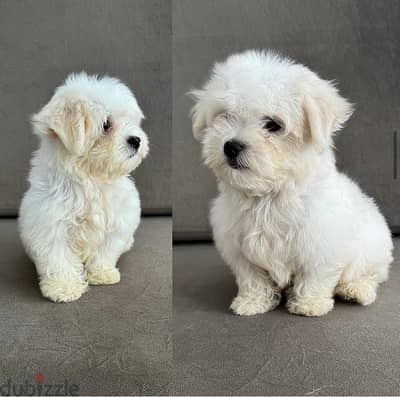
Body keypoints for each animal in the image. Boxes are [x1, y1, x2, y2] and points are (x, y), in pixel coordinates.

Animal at [18, 72, 148, 302]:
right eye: (106, 125)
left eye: (131, 122)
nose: (136, 140)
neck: (92, 178)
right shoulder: (51, 224)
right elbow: (58, 258)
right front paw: (64, 287)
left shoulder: (119, 221)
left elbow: (106, 250)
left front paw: (102, 273)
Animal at [191, 50, 394, 316]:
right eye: (225, 115)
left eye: (272, 125)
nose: (231, 146)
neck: (268, 196)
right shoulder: (238, 246)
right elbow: (252, 277)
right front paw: (253, 301)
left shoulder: (322, 240)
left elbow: (315, 275)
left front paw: (310, 304)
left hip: (373, 250)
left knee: (371, 274)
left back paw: (355, 289)